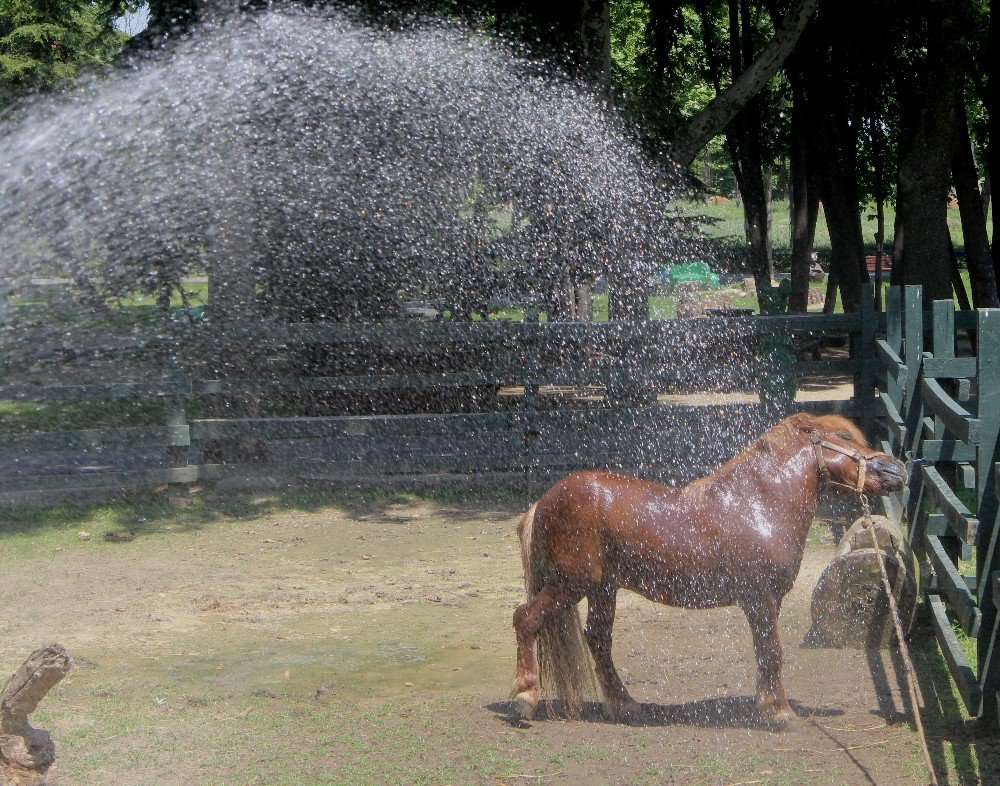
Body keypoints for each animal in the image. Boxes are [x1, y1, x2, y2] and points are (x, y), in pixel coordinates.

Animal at [512, 414, 912, 724]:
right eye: (844, 438)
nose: (897, 469)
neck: (760, 506)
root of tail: (544, 501)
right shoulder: (760, 597)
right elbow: (772, 651)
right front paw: (780, 712)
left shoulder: (769, 601)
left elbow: (765, 652)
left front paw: (764, 705)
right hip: (570, 584)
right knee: (526, 618)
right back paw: (525, 699)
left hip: (602, 589)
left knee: (597, 638)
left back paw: (625, 705)